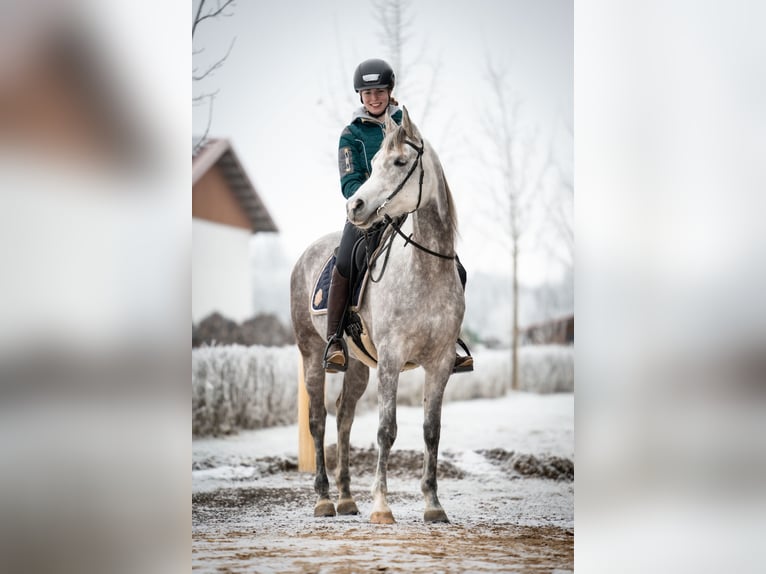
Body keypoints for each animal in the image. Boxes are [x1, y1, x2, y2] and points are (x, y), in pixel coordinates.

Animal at [292, 108, 464, 528]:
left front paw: (433, 504)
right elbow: (387, 430)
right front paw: (382, 507)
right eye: (375, 163)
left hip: (357, 365)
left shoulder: (440, 363)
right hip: (311, 355)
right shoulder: (391, 359)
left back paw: (346, 498)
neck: (425, 269)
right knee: (319, 419)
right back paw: (324, 499)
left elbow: (431, 431)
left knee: (343, 417)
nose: (355, 206)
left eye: (400, 162)